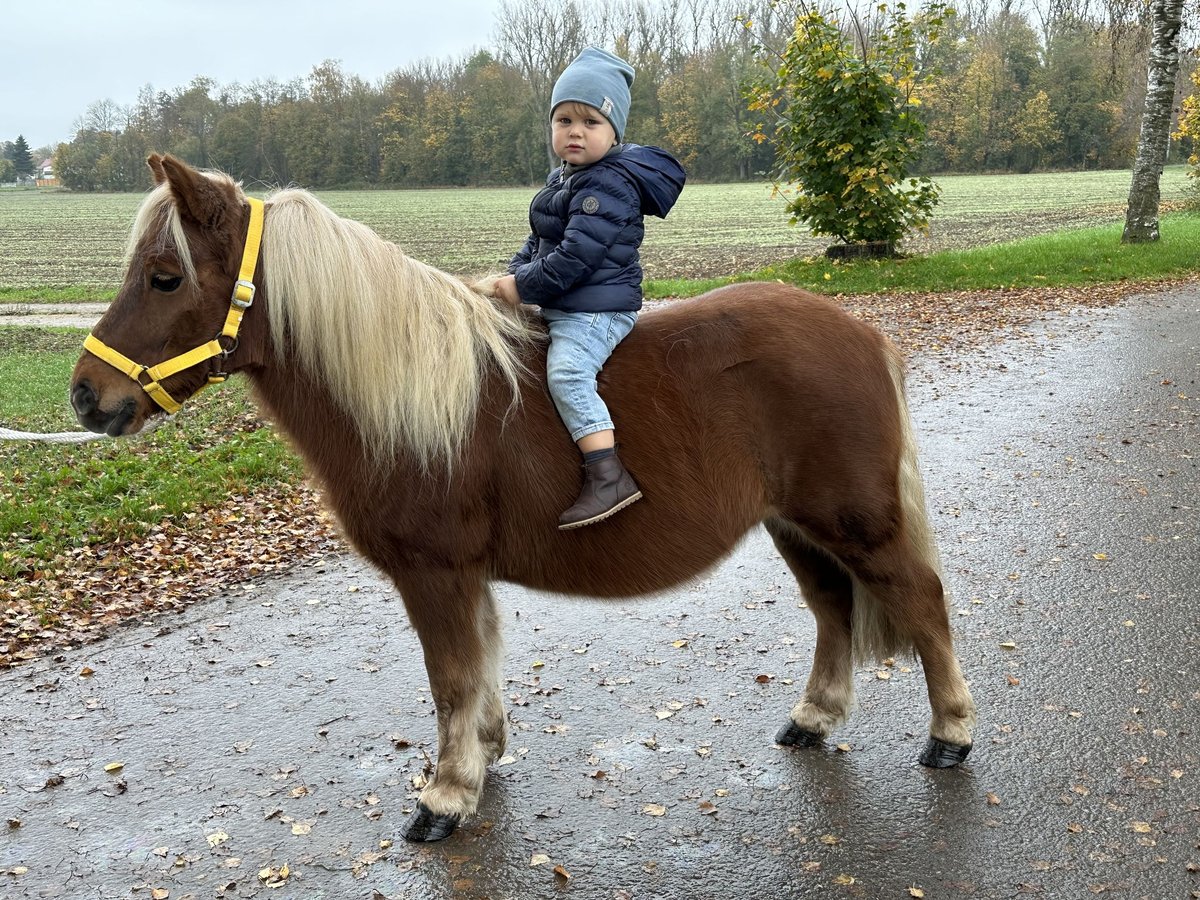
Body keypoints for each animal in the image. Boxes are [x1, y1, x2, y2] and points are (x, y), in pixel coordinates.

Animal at [68, 157, 974, 844]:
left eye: (165, 277)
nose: (85, 397)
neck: (411, 396)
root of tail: (860, 332)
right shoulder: (464, 575)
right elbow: (480, 666)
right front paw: (483, 758)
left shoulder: (434, 571)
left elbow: (450, 677)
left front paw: (445, 796)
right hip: (796, 526)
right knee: (832, 610)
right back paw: (815, 718)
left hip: (858, 522)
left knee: (922, 604)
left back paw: (950, 734)